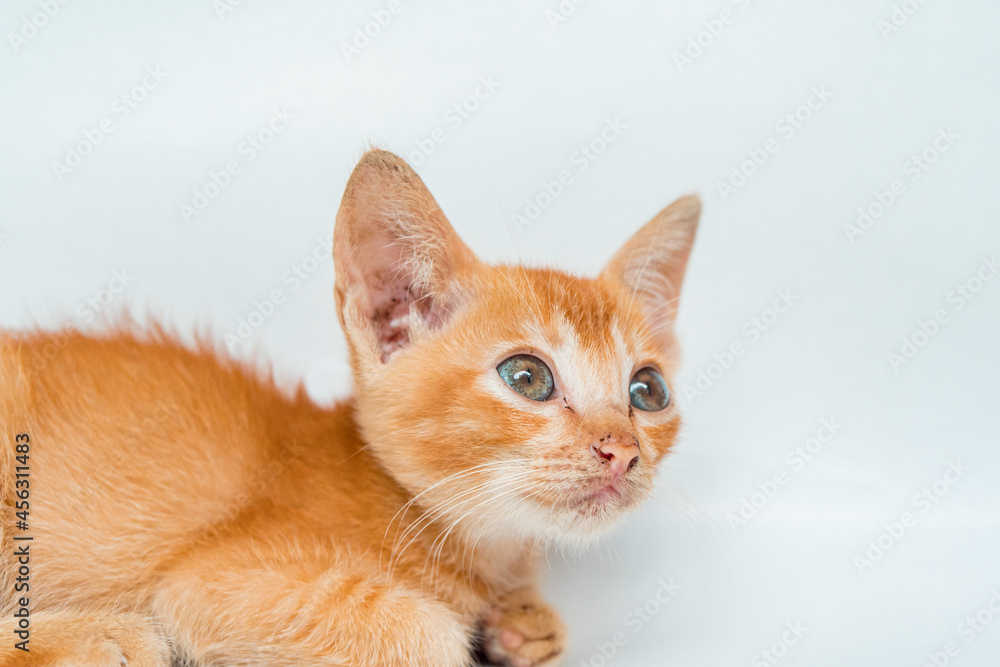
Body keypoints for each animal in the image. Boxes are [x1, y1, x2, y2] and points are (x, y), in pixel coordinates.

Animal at [0, 151, 696, 667]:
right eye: (526, 378)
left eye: (648, 392)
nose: (622, 451)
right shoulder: (209, 585)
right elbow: (423, 633)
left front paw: (526, 625)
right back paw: (98, 637)